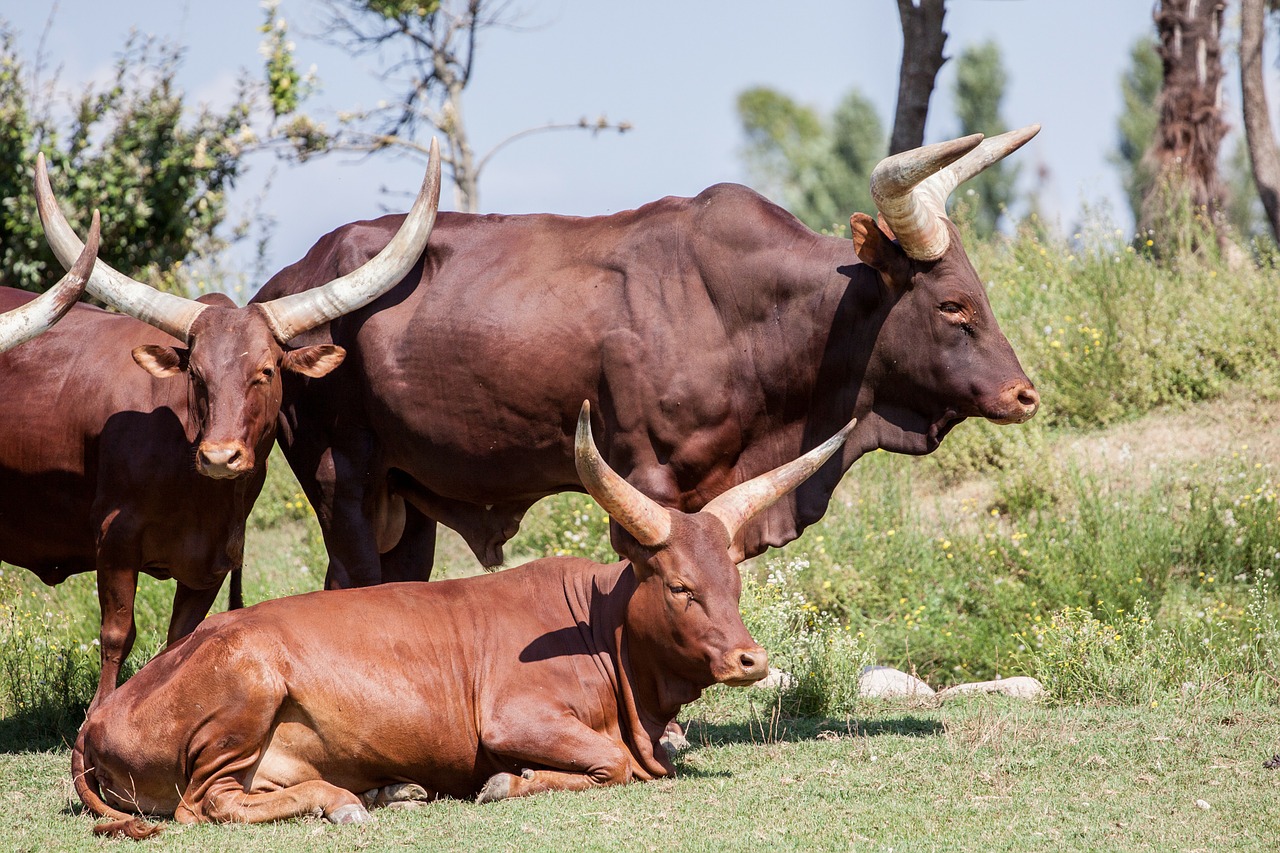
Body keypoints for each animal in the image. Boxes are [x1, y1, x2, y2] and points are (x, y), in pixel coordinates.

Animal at [2, 142, 440, 706]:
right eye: (196, 374)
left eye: (266, 371)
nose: (218, 457)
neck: (192, 484)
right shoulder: (114, 538)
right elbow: (116, 634)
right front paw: (97, 723)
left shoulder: (214, 560)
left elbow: (178, 641)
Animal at [72, 402, 860, 835]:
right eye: (678, 586)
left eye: (735, 582)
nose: (750, 660)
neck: (604, 634)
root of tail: (99, 715)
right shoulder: (514, 719)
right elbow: (612, 764)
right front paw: (506, 783)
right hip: (249, 692)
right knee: (204, 804)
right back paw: (347, 802)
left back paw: (386, 789)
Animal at [254, 128, 1044, 591]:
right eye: (951, 306)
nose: (1024, 394)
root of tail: (281, 287)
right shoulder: (644, 479)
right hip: (341, 481)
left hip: (403, 495)